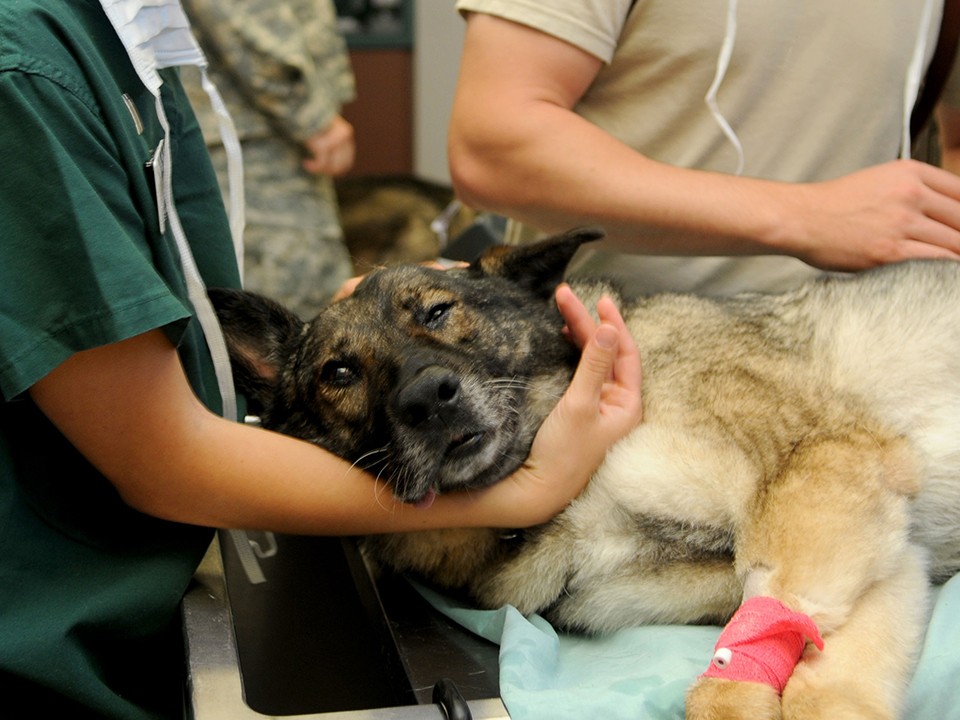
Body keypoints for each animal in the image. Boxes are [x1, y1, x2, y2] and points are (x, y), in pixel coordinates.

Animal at [214, 231, 960, 720]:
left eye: (437, 311)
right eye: (338, 372)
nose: (429, 398)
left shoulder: (827, 470)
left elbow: (773, 656)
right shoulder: (879, 552)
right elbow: (818, 670)